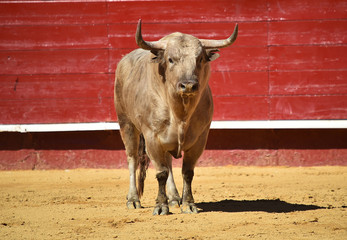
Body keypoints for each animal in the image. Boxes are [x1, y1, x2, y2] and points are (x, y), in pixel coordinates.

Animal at [115, 20, 238, 216]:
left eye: (200, 59)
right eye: (171, 59)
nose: (188, 85)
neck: (180, 113)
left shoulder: (200, 139)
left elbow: (187, 172)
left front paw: (188, 204)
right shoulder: (152, 137)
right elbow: (161, 173)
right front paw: (160, 206)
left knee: (169, 163)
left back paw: (174, 198)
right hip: (126, 123)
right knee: (132, 159)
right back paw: (133, 200)